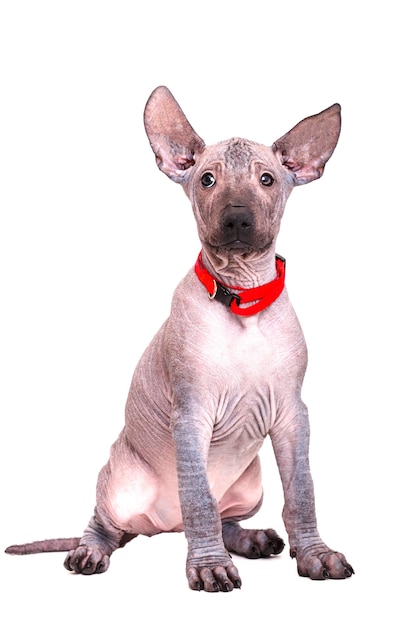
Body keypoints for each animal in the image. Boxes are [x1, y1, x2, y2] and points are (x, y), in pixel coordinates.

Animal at [5, 85, 354, 588]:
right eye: (207, 180)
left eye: (267, 180)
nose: (237, 218)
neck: (242, 299)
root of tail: (163, 526)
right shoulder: (190, 415)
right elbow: (200, 501)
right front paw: (209, 567)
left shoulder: (293, 415)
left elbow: (302, 493)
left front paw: (315, 555)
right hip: (122, 482)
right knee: (108, 521)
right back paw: (90, 552)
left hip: (250, 486)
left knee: (225, 516)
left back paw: (251, 539)